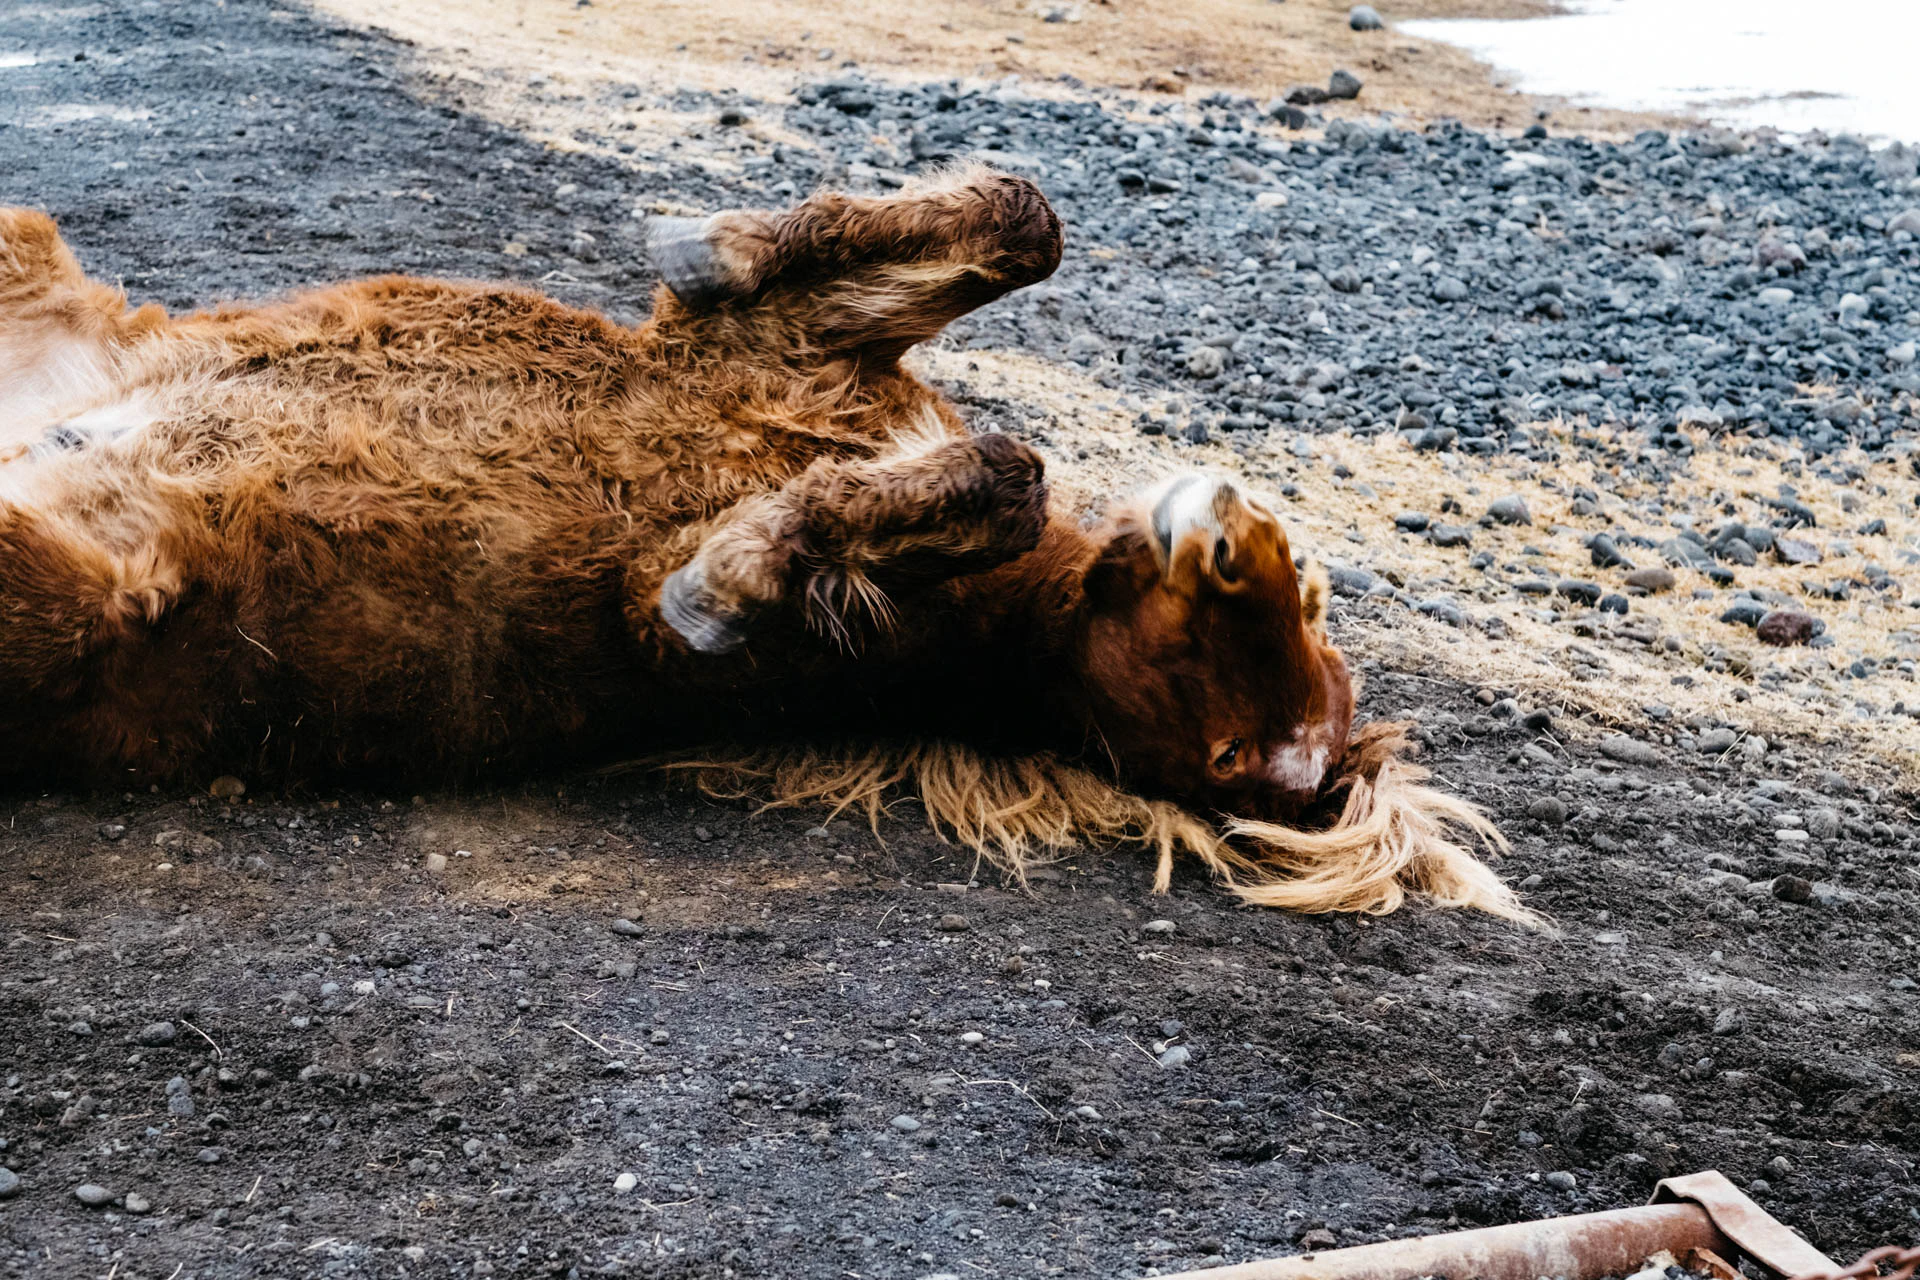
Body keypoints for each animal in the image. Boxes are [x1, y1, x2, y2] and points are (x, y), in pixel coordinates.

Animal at [0, 163, 1526, 921]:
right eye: (1306, 594)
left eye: (1239, 759)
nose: (1237, 527)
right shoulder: (781, 352)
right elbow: (1018, 225)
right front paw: (707, 240)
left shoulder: (662, 610)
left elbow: (1004, 480)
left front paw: (724, 578)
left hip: (44, 588)